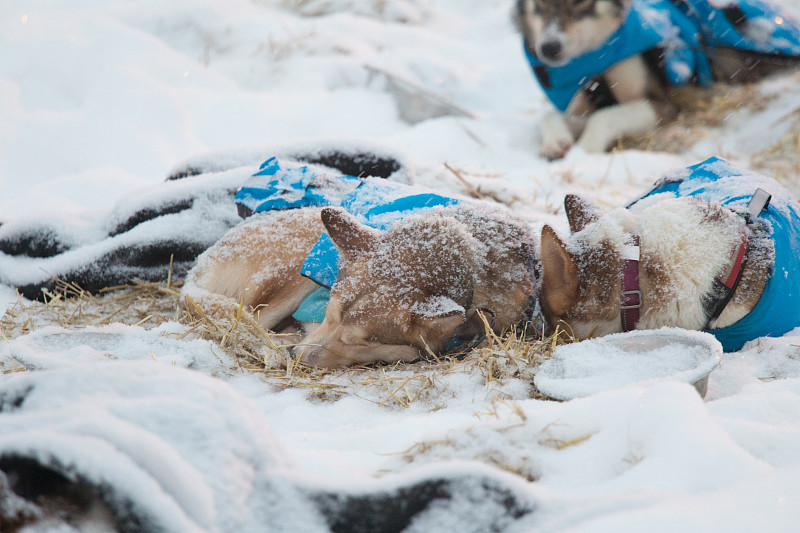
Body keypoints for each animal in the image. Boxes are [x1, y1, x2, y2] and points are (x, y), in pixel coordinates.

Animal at [181, 204, 536, 366]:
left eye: (358, 341)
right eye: (327, 314)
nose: (298, 355)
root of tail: (201, 262)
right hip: (295, 269)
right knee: (248, 322)